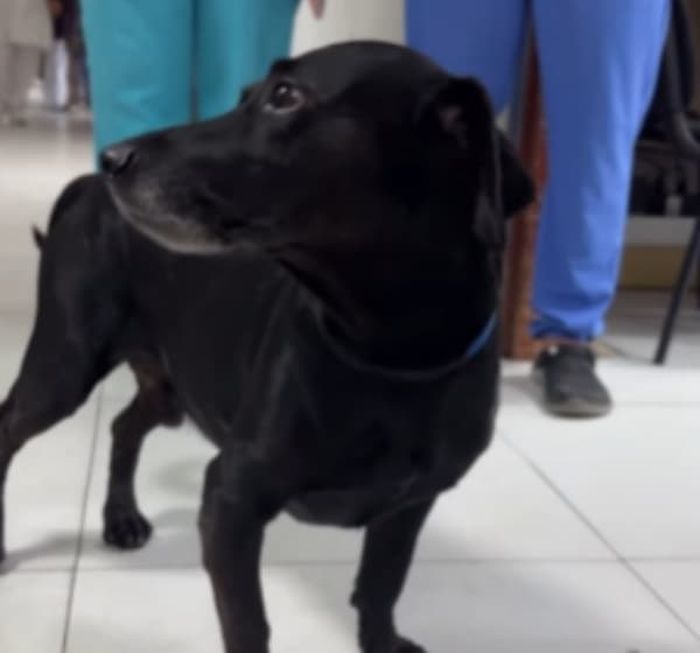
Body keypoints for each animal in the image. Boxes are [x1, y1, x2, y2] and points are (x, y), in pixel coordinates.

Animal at [0, 42, 533, 652]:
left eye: (284, 96)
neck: (387, 357)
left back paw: (120, 516)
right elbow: (248, 624)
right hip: (63, 366)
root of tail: (82, 188)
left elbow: (382, 585)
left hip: (170, 388)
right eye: (247, 95)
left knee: (124, 425)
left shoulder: (410, 504)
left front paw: (382, 640)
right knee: (9, 427)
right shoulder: (231, 500)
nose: (113, 158)